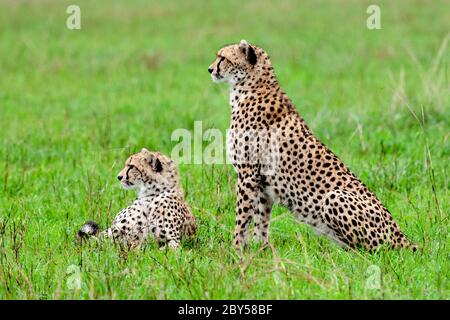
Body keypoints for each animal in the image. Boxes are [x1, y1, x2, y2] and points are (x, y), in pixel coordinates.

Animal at [209, 39, 416, 252]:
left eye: (222, 58)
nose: (210, 69)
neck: (250, 87)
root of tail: (402, 237)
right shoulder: (262, 181)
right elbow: (261, 218)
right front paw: (261, 248)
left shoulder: (248, 174)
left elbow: (242, 216)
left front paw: (235, 248)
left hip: (335, 197)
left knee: (369, 250)